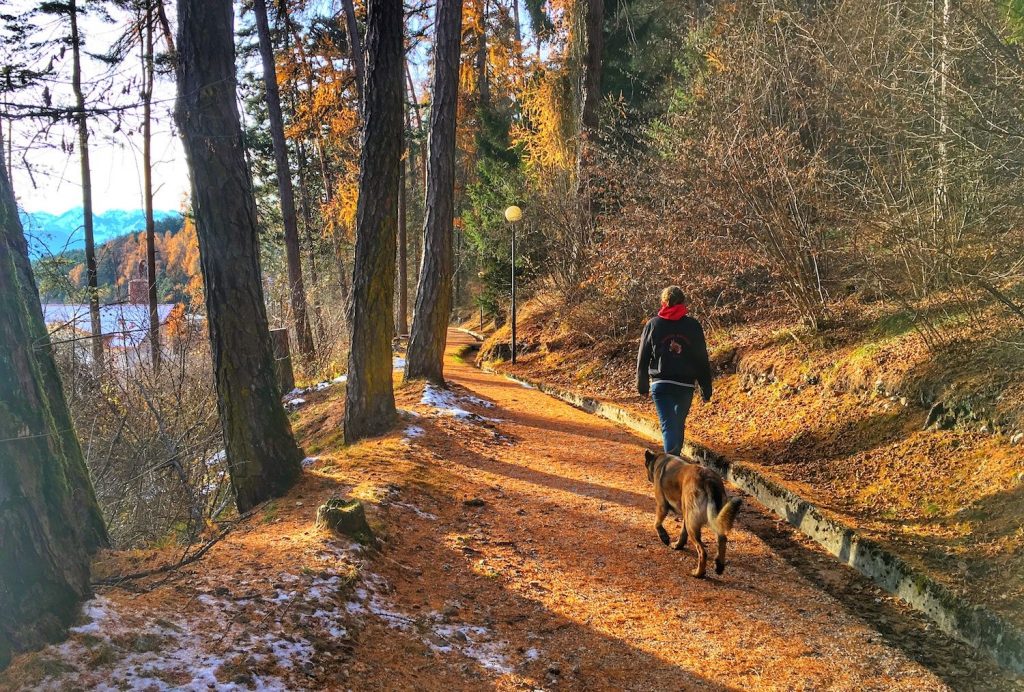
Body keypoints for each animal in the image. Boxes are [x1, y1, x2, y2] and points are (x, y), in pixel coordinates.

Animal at [643, 448, 741, 577]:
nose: (648, 478)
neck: (661, 460)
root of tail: (707, 479)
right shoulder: (686, 516)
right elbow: (682, 534)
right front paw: (678, 545)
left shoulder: (662, 506)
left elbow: (656, 523)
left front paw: (664, 537)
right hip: (708, 519)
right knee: (722, 539)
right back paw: (719, 566)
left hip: (692, 525)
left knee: (702, 551)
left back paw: (698, 573)